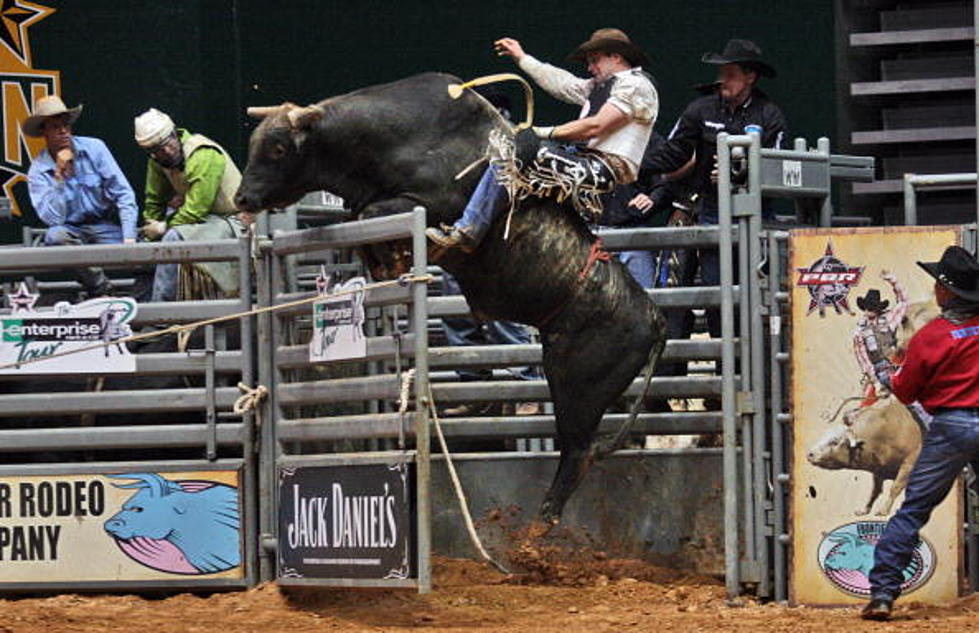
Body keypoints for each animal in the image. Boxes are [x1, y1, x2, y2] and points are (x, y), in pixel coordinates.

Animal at [236, 73, 668, 524]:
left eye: (278, 148)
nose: (242, 199)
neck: (392, 138)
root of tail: (655, 318)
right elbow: (361, 219)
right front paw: (387, 262)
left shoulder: (428, 202)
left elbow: (372, 213)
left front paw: (402, 254)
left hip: (579, 382)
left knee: (578, 450)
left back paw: (542, 520)